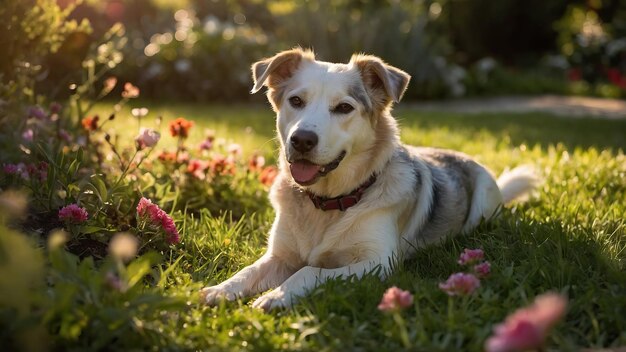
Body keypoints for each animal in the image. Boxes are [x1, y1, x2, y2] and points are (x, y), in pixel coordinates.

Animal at [201, 48, 536, 310]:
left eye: (344, 107)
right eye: (296, 101)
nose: (302, 140)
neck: (328, 202)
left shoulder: (377, 263)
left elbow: (309, 270)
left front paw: (277, 295)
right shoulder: (278, 256)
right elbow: (248, 271)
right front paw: (220, 290)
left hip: (483, 206)